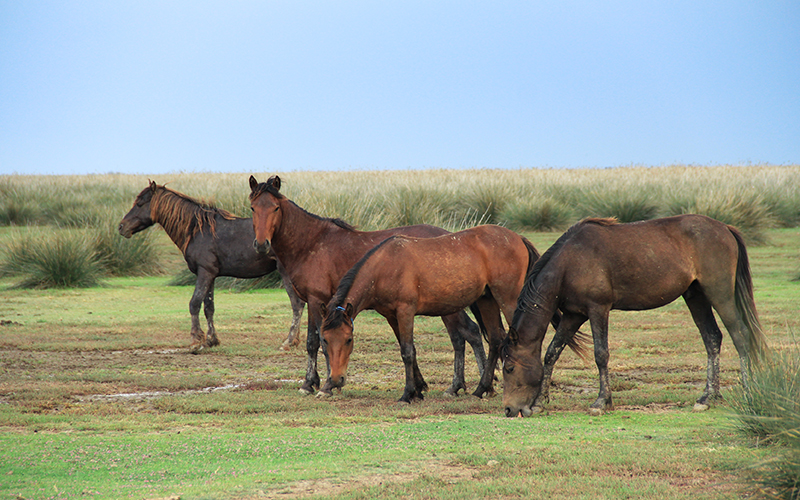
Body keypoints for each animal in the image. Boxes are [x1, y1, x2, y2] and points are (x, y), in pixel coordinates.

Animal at [119, 181, 304, 352]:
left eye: (140, 203)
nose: (122, 227)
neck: (198, 230)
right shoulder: (211, 276)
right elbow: (209, 307)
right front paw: (211, 340)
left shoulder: (204, 273)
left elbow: (194, 304)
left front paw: (195, 341)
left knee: (297, 305)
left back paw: (289, 341)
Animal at [250, 174, 488, 396]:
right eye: (253, 207)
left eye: (275, 207)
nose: (262, 244)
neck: (311, 243)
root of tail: (453, 237)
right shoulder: (314, 302)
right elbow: (315, 342)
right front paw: (311, 383)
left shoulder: (317, 299)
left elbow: (317, 343)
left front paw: (324, 385)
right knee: (464, 335)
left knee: (465, 334)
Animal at [318, 226, 588, 402]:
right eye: (324, 341)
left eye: (349, 340)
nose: (337, 379)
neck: (385, 265)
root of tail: (516, 237)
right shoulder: (392, 316)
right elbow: (407, 350)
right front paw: (418, 390)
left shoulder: (405, 311)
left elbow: (407, 352)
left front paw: (408, 394)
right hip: (487, 300)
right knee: (497, 340)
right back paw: (481, 389)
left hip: (508, 298)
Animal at [500, 215, 768, 418]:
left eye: (509, 368)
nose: (509, 409)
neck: (569, 263)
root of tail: (725, 228)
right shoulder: (573, 315)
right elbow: (552, 353)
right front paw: (539, 402)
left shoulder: (598, 309)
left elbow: (601, 354)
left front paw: (602, 402)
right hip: (696, 297)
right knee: (712, 338)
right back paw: (708, 397)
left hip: (719, 293)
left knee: (740, 335)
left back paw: (748, 392)